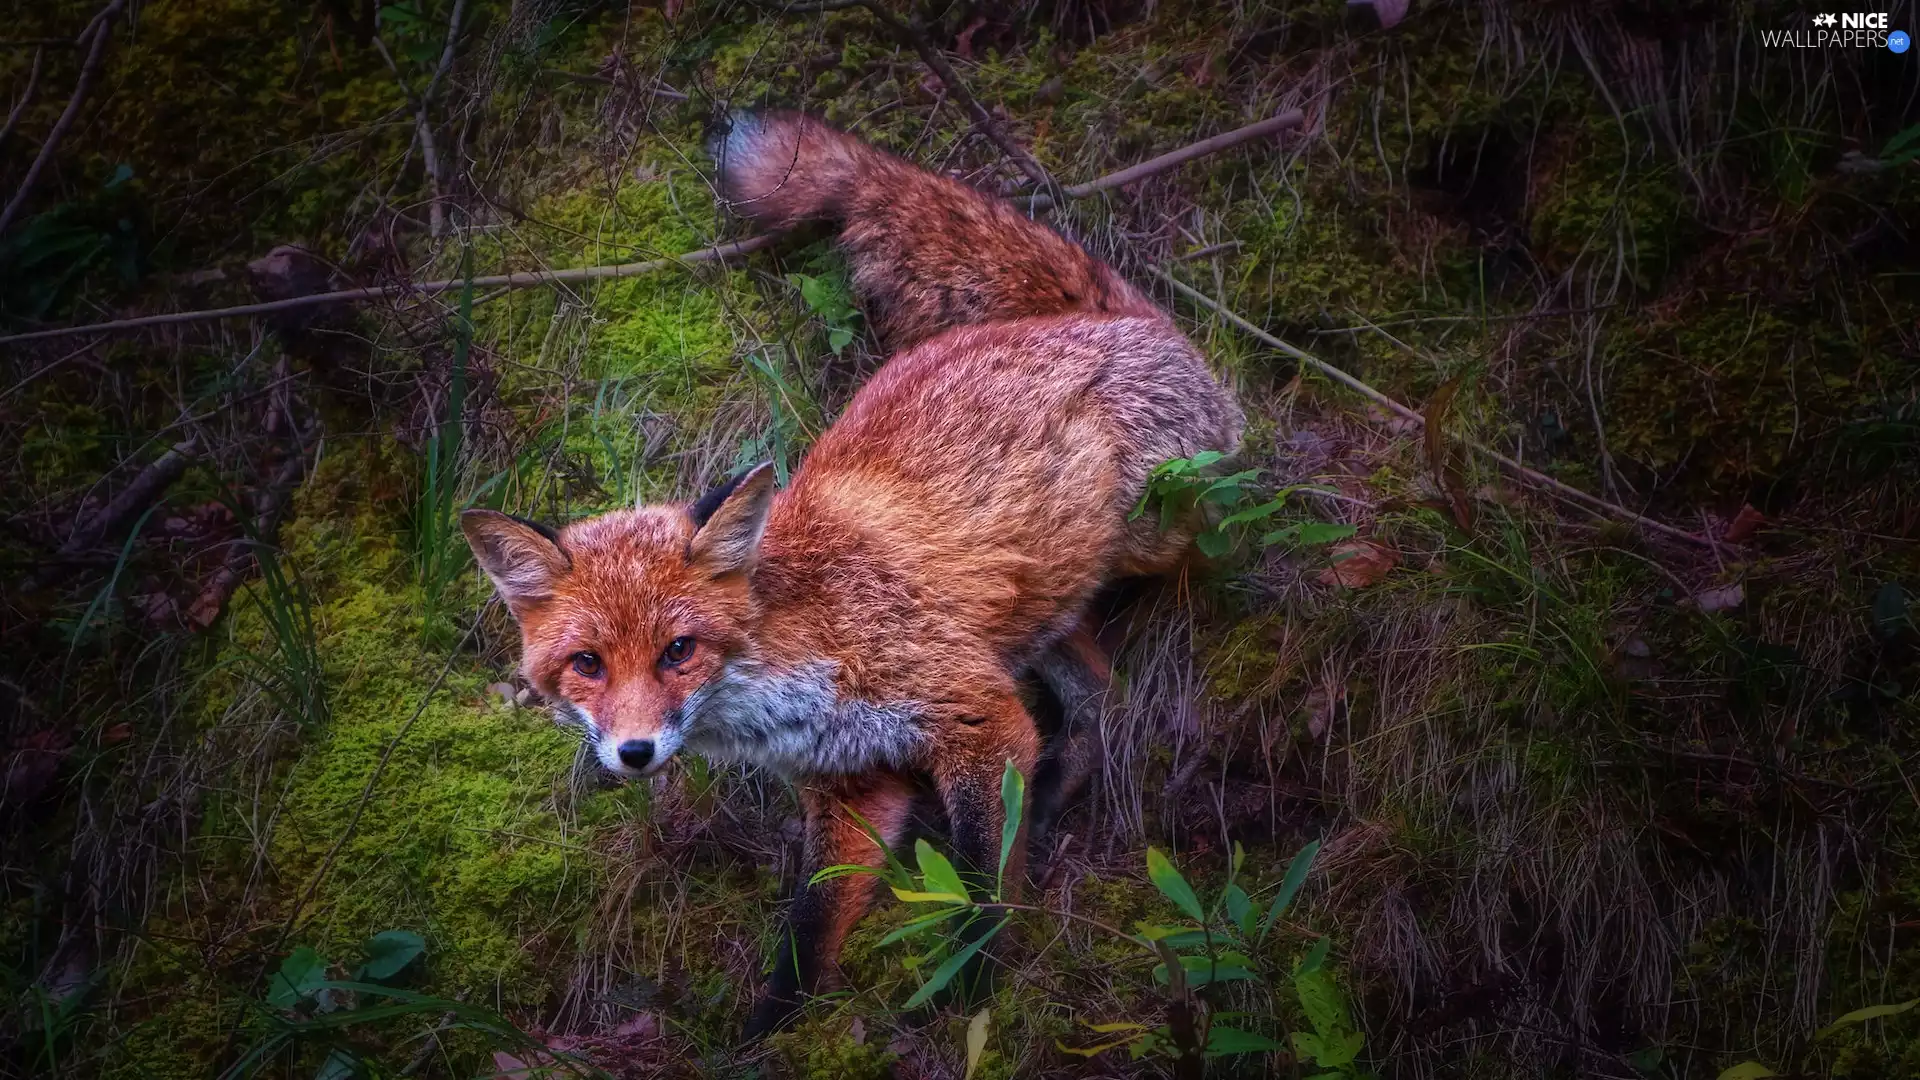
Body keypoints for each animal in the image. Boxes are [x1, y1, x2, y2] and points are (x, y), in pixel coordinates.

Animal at [460, 110, 1243, 1035]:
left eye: (678, 651)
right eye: (586, 664)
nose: (636, 752)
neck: (795, 674)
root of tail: (1100, 316)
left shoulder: (975, 716)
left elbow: (981, 886)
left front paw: (972, 996)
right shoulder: (851, 785)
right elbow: (811, 925)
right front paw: (768, 1032)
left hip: (1156, 524)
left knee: (1217, 540)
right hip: (1035, 610)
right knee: (1098, 696)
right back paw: (1057, 787)